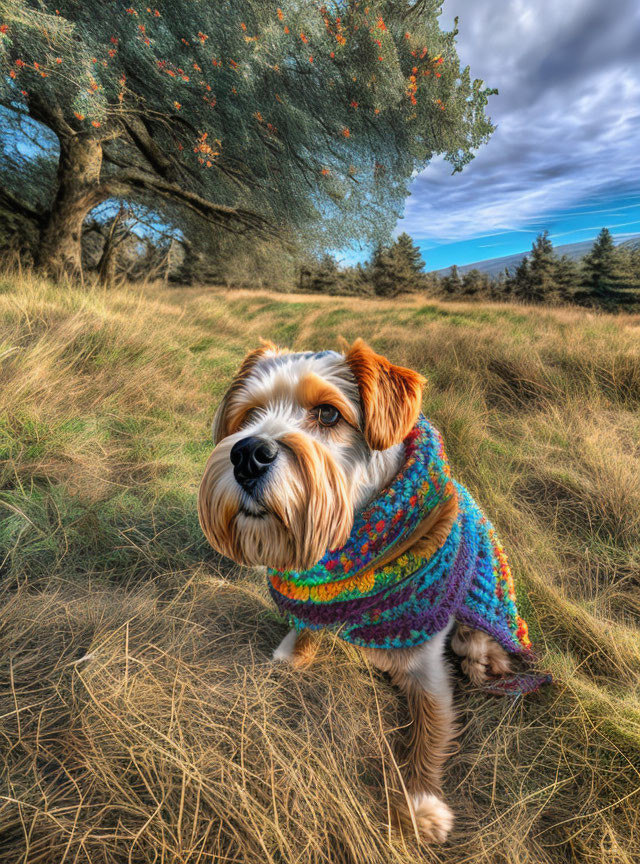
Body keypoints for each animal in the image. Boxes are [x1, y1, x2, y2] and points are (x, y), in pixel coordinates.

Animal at [198, 340, 548, 844]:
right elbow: (306, 628)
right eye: (248, 415)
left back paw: (485, 661)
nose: (246, 454)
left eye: (328, 413)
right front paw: (293, 654)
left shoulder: (425, 665)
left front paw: (419, 804)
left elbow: (429, 731)